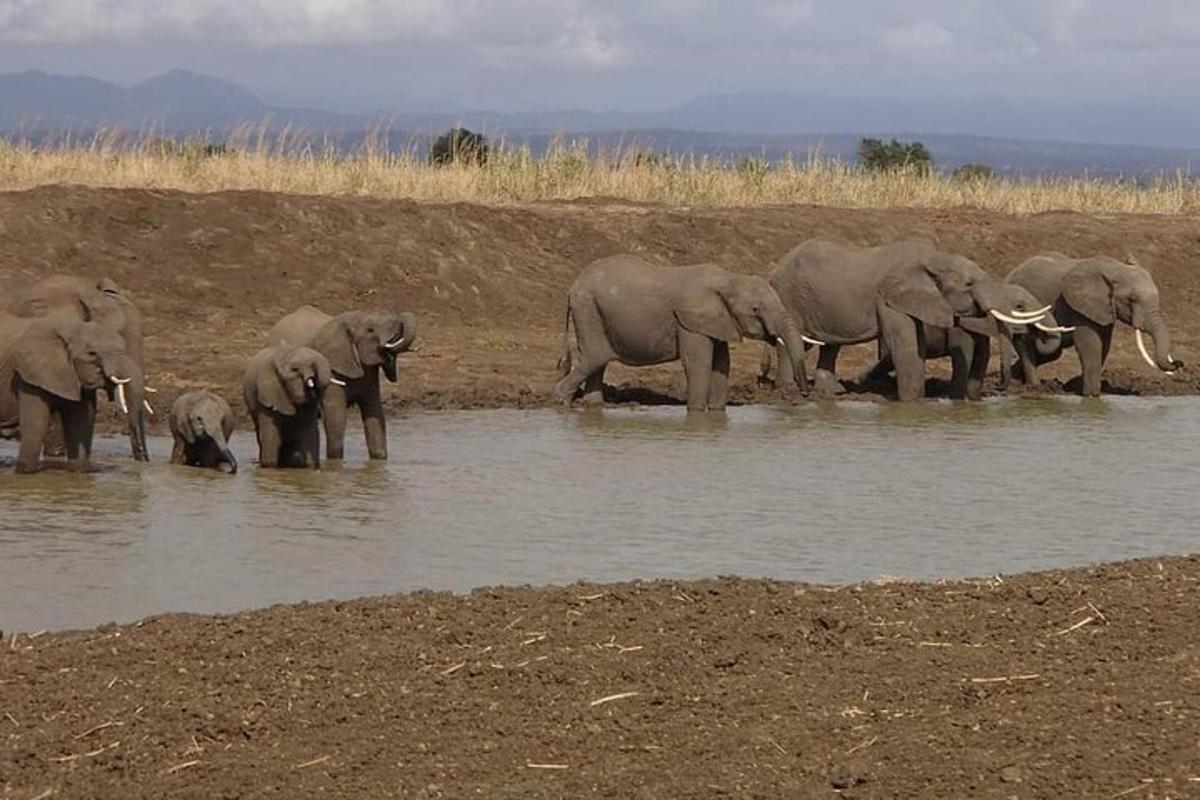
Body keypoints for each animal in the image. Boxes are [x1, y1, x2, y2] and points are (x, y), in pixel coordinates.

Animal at [270, 303, 420, 460]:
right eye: (370, 330)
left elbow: (374, 413)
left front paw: (380, 459)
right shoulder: (331, 367)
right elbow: (337, 416)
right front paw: (335, 461)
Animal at [552, 255, 816, 412]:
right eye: (755, 309)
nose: (804, 394)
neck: (727, 279)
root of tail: (572, 287)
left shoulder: (716, 321)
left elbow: (722, 364)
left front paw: (717, 413)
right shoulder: (689, 321)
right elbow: (699, 363)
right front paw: (697, 413)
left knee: (598, 361)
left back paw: (594, 407)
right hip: (587, 310)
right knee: (595, 356)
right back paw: (560, 401)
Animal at [763, 237, 1046, 400]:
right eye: (969, 284)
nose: (999, 387)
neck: (934, 258)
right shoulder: (889, 297)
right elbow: (906, 346)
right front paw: (911, 405)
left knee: (831, 345)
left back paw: (832, 393)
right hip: (789, 295)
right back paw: (789, 391)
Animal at [1003, 253, 1180, 398]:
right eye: (1132, 300)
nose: (1179, 363)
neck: (1115, 269)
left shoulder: (1103, 309)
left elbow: (1104, 346)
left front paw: (1079, 389)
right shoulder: (1079, 307)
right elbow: (1090, 345)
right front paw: (1091, 396)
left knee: (1053, 351)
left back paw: (1017, 378)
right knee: (1026, 343)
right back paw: (1034, 386)